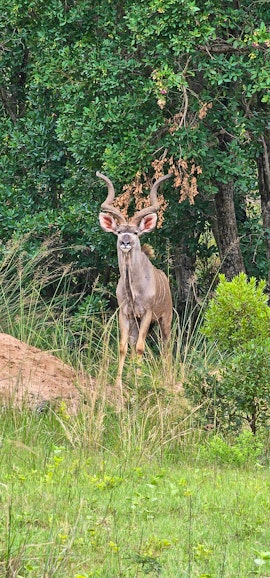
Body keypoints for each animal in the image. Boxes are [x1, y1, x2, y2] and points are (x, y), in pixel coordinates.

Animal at [97, 171, 173, 382]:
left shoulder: (147, 313)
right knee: (133, 344)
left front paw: (138, 382)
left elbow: (140, 347)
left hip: (166, 319)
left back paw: (168, 377)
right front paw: (120, 382)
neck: (134, 289)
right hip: (136, 322)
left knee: (167, 346)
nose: (125, 242)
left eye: (136, 232)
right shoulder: (125, 313)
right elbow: (124, 347)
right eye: (119, 231)